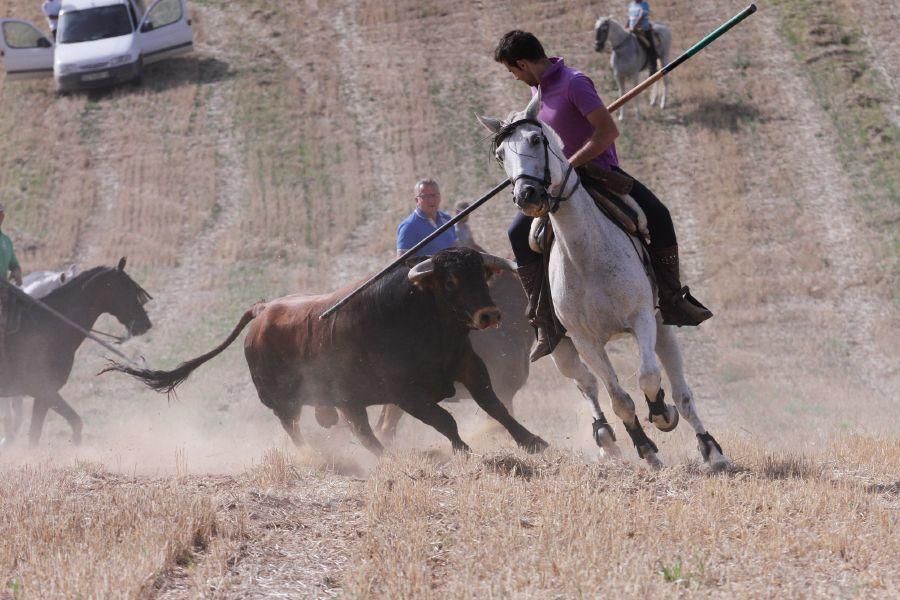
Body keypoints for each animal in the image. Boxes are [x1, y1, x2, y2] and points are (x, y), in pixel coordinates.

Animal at [482, 94, 728, 472]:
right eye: (500, 154)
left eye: (536, 140)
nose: (527, 195)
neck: (585, 256)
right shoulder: (585, 341)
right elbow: (618, 397)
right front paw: (646, 449)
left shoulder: (642, 319)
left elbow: (648, 378)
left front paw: (662, 414)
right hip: (561, 347)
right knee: (586, 385)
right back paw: (605, 438)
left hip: (662, 326)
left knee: (681, 392)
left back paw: (711, 449)